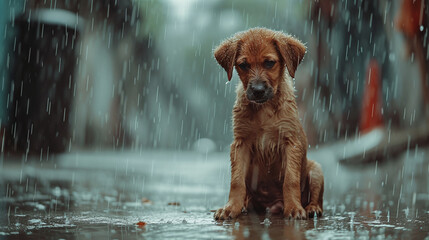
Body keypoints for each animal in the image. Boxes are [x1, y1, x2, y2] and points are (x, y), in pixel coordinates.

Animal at [212, 27, 322, 219]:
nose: (257, 91)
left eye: (270, 63)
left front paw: (294, 208)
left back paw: (312, 208)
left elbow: (290, 180)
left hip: (316, 170)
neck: (264, 109)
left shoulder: (290, 142)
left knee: (316, 197)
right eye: (244, 65)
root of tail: (272, 206)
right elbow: (236, 181)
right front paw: (231, 207)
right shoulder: (240, 143)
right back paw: (243, 206)